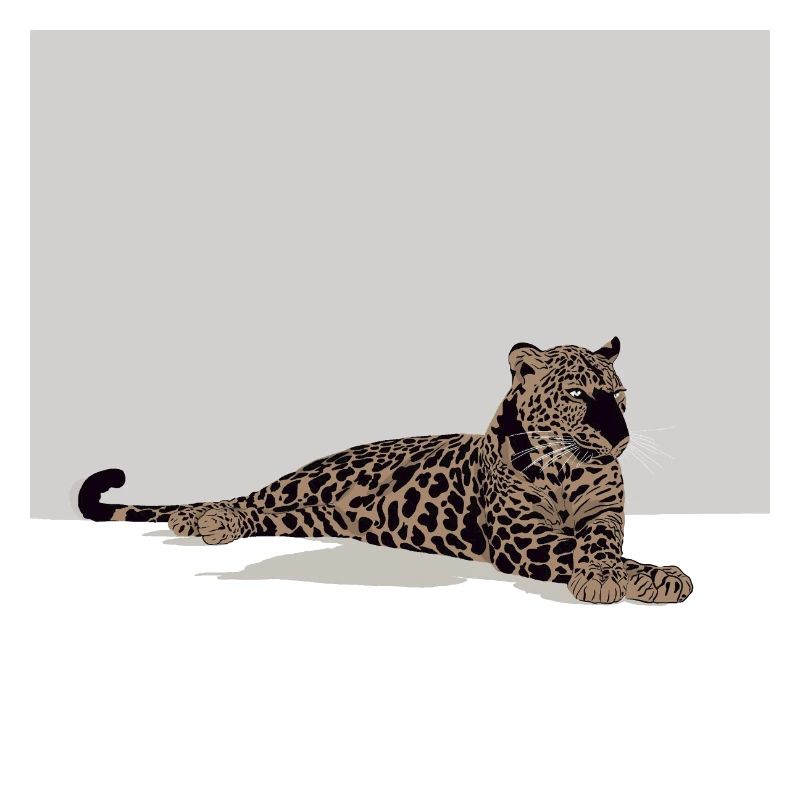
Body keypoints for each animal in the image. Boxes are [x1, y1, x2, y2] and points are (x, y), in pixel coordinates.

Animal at [79, 337, 692, 604]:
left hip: (309, 517)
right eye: (576, 394)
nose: (619, 437)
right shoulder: (521, 539)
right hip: (308, 482)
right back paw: (202, 519)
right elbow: (584, 552)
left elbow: (599, 544)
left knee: (271, 512)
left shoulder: (604, 516)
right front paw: (645, 576)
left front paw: (636, 574)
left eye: (621, 398)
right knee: (252, 498)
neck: (565, 472)